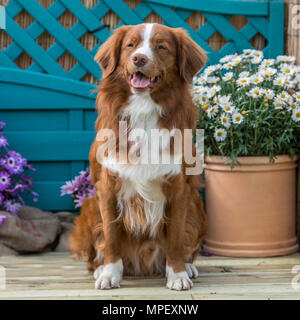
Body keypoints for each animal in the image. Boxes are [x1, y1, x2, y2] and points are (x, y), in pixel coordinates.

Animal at [70, 23, 206, 292]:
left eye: (161, 47)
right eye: (130, 45)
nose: (139, 59)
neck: (144, 109)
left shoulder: (179, 188)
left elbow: (176, 237)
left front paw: (177, 274)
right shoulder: (107, 187)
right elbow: (111, 237)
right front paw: (110, 274)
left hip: (197, 205)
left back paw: (188, 267)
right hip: (90, 207)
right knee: (95, 253)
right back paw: (100, 268)